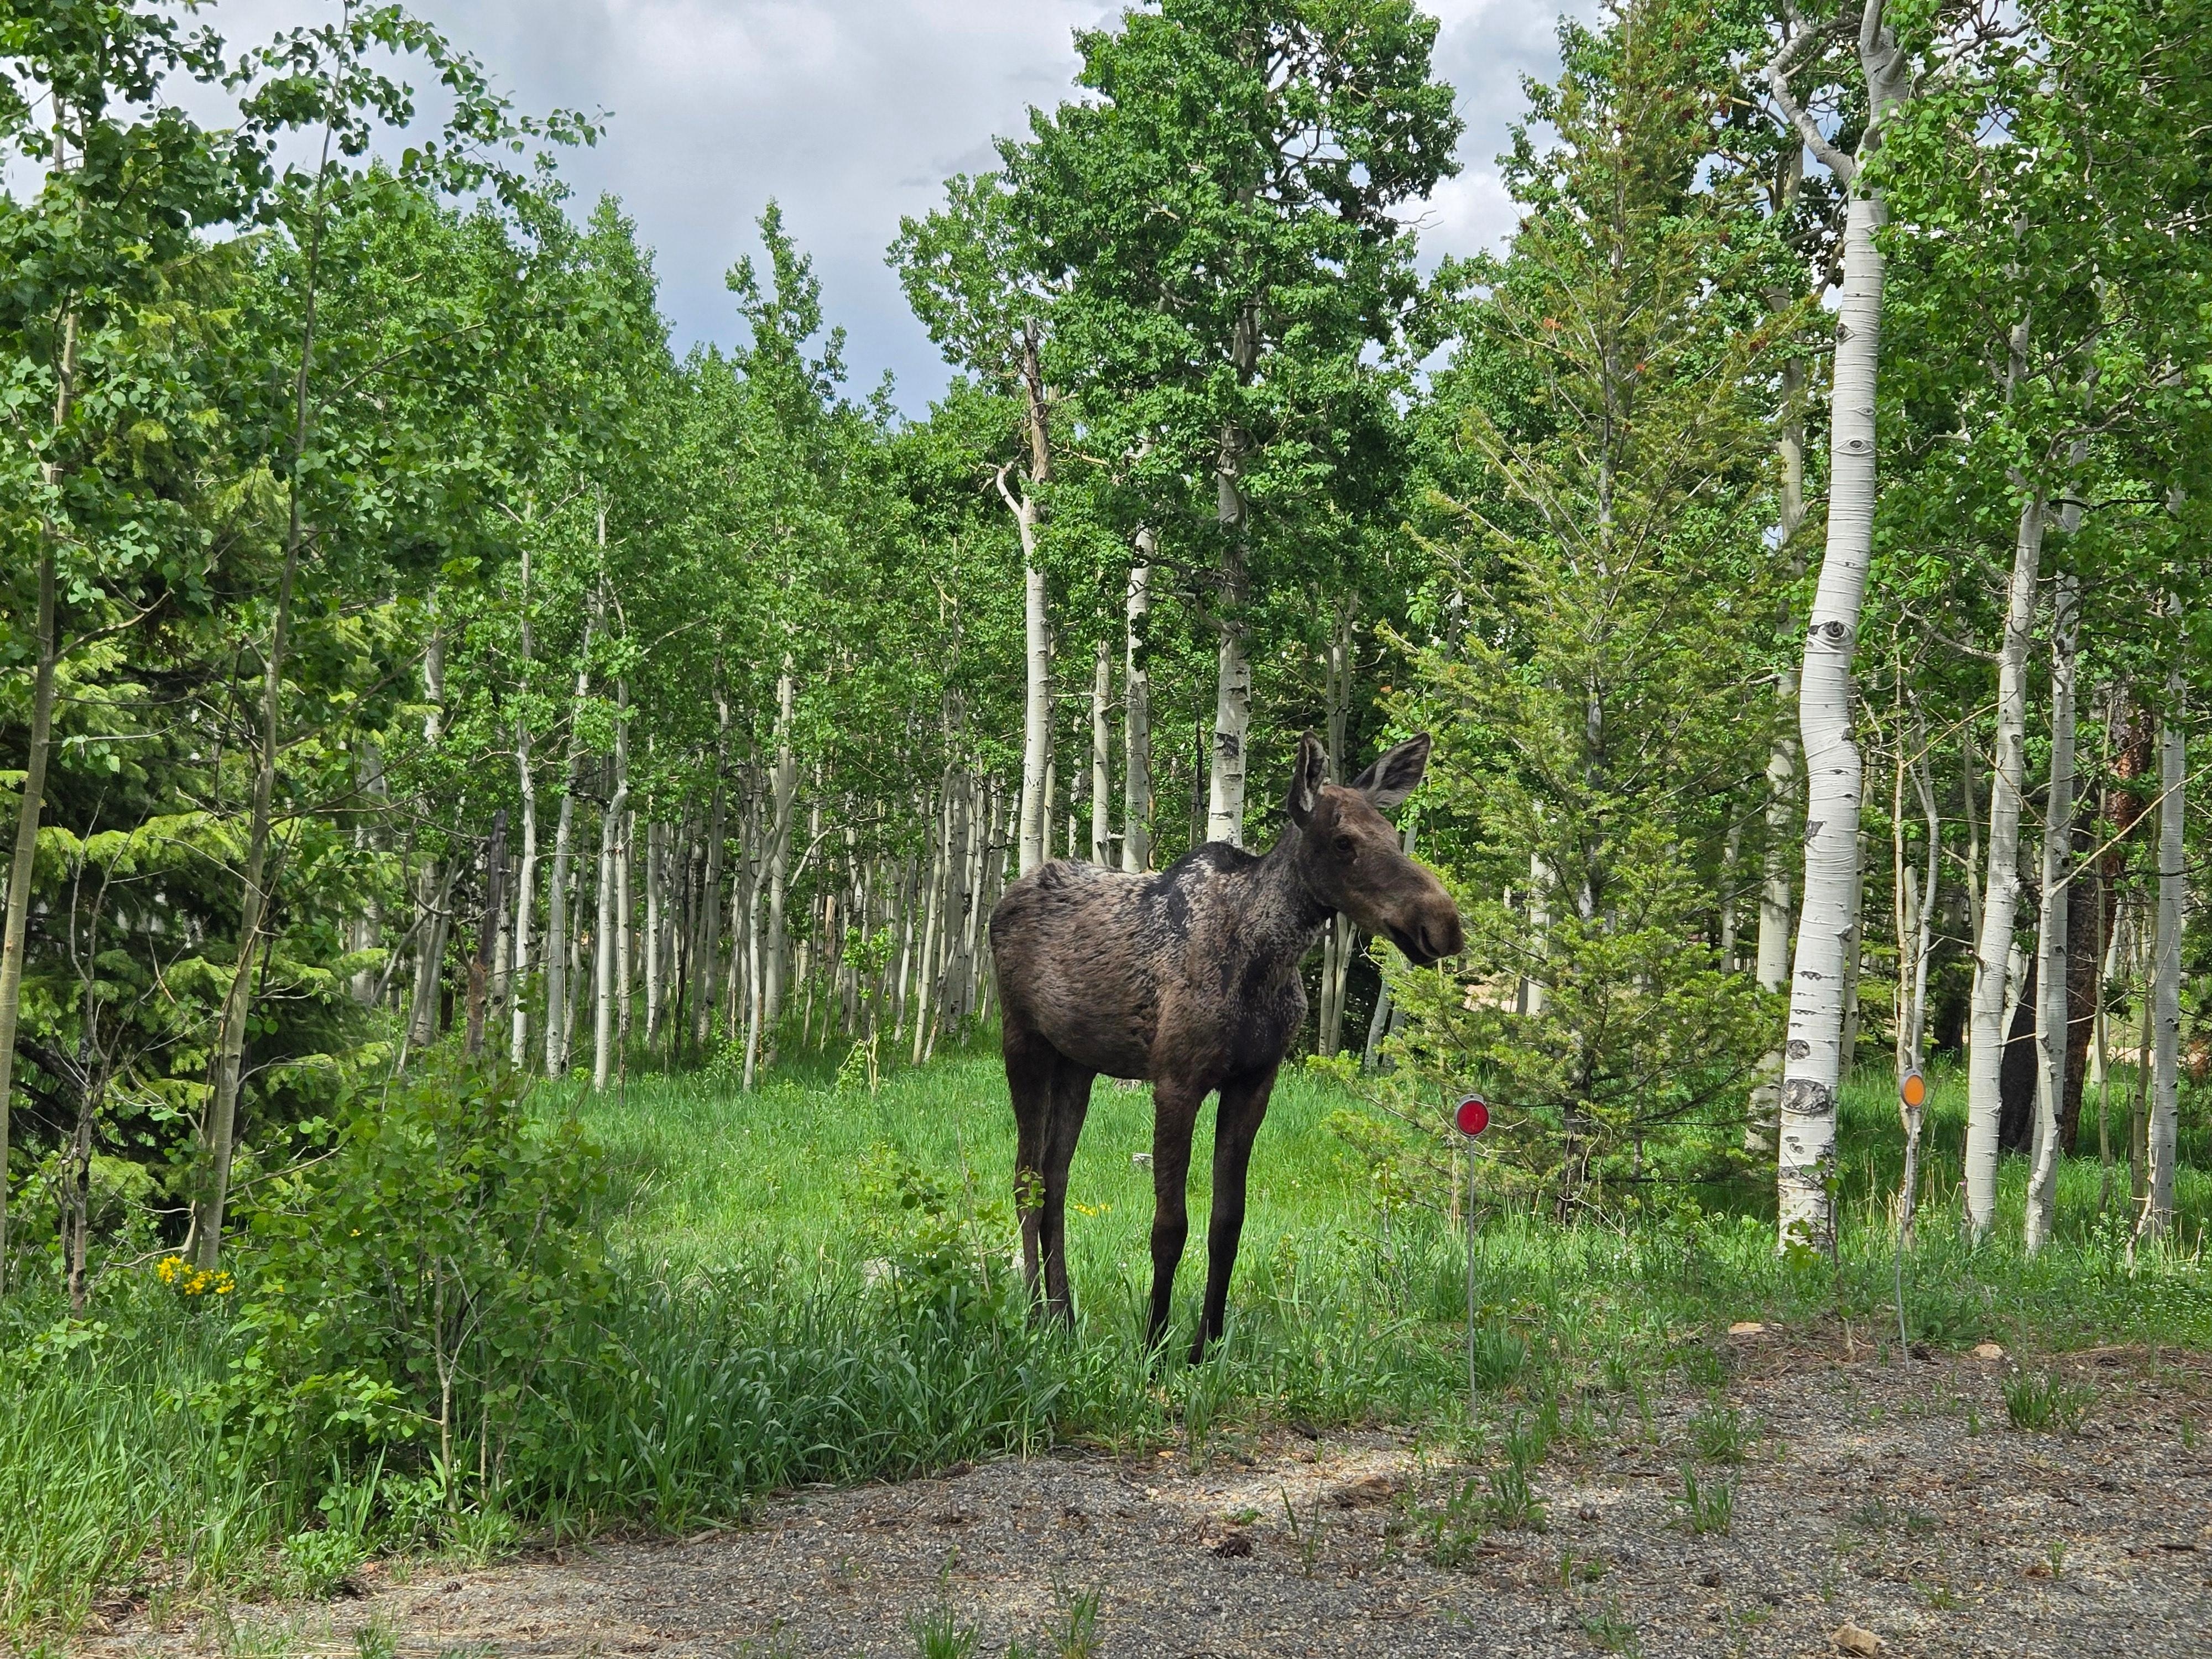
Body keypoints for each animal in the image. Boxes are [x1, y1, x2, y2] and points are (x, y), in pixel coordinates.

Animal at [988, 730, 1464, 1361]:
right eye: (1344, 841)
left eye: (1390, 833)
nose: (1444, 923)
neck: (1264, 962)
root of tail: (1001, 902)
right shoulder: (1176, 1079)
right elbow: (1169, 1226)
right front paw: (1154, 1346)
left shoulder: (1254, 1081)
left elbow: (1227, 1222)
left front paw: (1204, 1345)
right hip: (1023, 1041)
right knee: (1026, 1178)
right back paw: (1034, 1317)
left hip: (1077, 1064)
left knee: (1056, 1180)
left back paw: (1065, 1317)